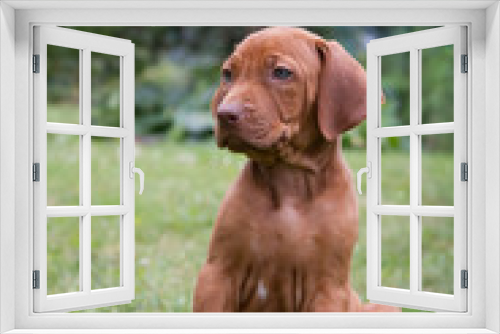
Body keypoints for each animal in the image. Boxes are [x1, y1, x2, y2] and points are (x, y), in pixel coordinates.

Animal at [192, 27, 398, 312]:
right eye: (228, 74)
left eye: (281, 72)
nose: (224, 114)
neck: (289, 177)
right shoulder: (217, 273)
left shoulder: (328, 288)